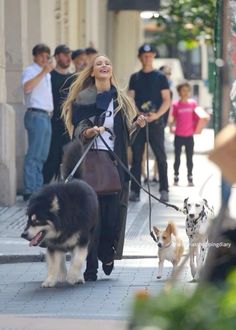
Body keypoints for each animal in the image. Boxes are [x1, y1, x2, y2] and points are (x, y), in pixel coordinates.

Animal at [20, 141, 97, 288]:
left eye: (36, 221)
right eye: (28, 220)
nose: (23, 235)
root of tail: (75, 178)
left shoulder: (83, 240)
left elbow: (77, 260)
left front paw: (73, 277)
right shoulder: (53, 244)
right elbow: (54, 263)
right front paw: (50, 280)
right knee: (59, 259)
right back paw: (61, 275)